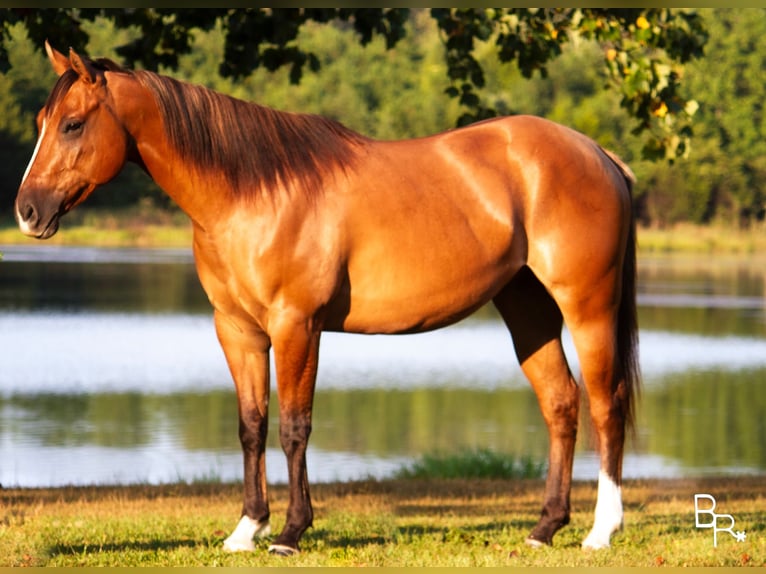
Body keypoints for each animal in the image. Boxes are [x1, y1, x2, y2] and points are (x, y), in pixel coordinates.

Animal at [16, 41, 640, 560]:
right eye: (43, 122)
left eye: (73, 124)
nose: (26, 211)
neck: (252, 193)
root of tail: (597, 153)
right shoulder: (237, 330)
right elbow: (251, 424)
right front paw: (247, 528)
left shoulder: (298, 326)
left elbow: (294, 427)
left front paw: (290, 533)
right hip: (527, 308)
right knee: (561, 403)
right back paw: (544, 528)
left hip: (588, 306)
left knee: (605, 405)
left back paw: (601, 531)